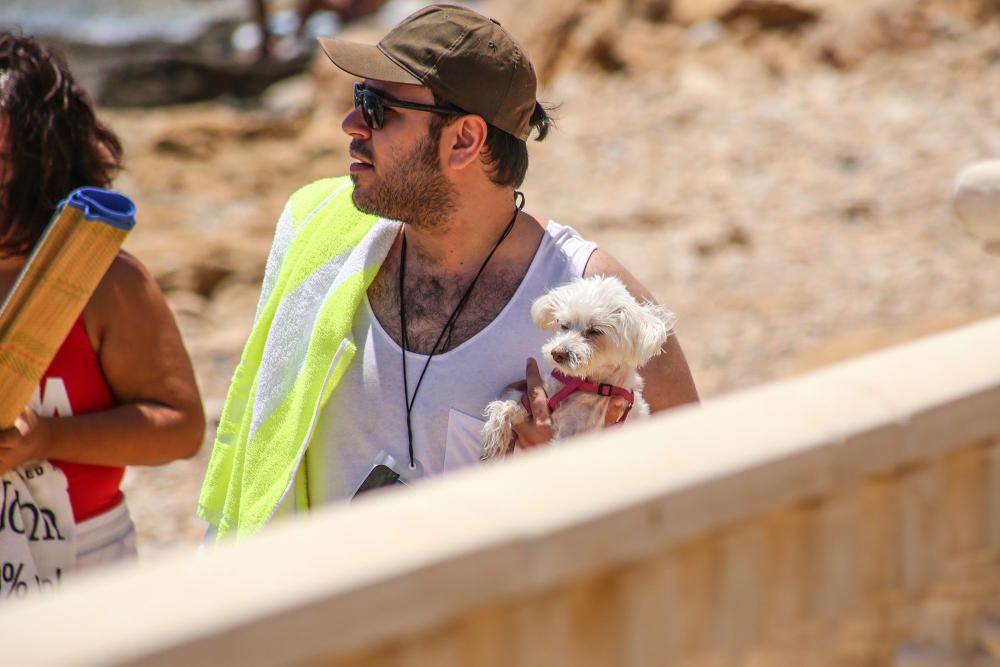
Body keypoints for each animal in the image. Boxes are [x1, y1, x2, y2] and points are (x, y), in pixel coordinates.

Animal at [480, 276, 676, 460]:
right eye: (564, 325)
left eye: (594, 331)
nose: (557, 353)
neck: (582, 383)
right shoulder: (534, 398)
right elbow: (505, 405)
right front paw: (494, 442)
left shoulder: (576, 436)